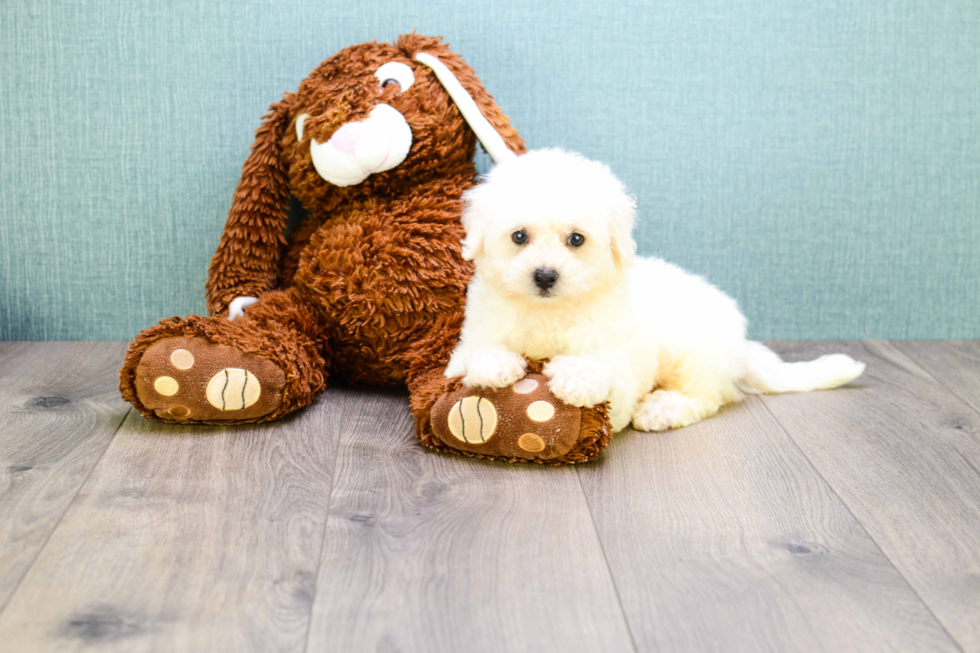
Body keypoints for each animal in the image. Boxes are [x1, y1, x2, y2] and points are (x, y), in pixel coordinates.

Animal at [446, 149, 864, 432]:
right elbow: (472, 355)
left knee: (706, 397)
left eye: (576, 239)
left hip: (693, 351)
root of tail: (740, 349)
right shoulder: (471, 339)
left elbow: (608, 374)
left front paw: (577, 376)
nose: (545, 275)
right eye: (519, 236)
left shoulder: (621, 363)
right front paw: (496, 364)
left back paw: (663, 408)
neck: (549, 310)